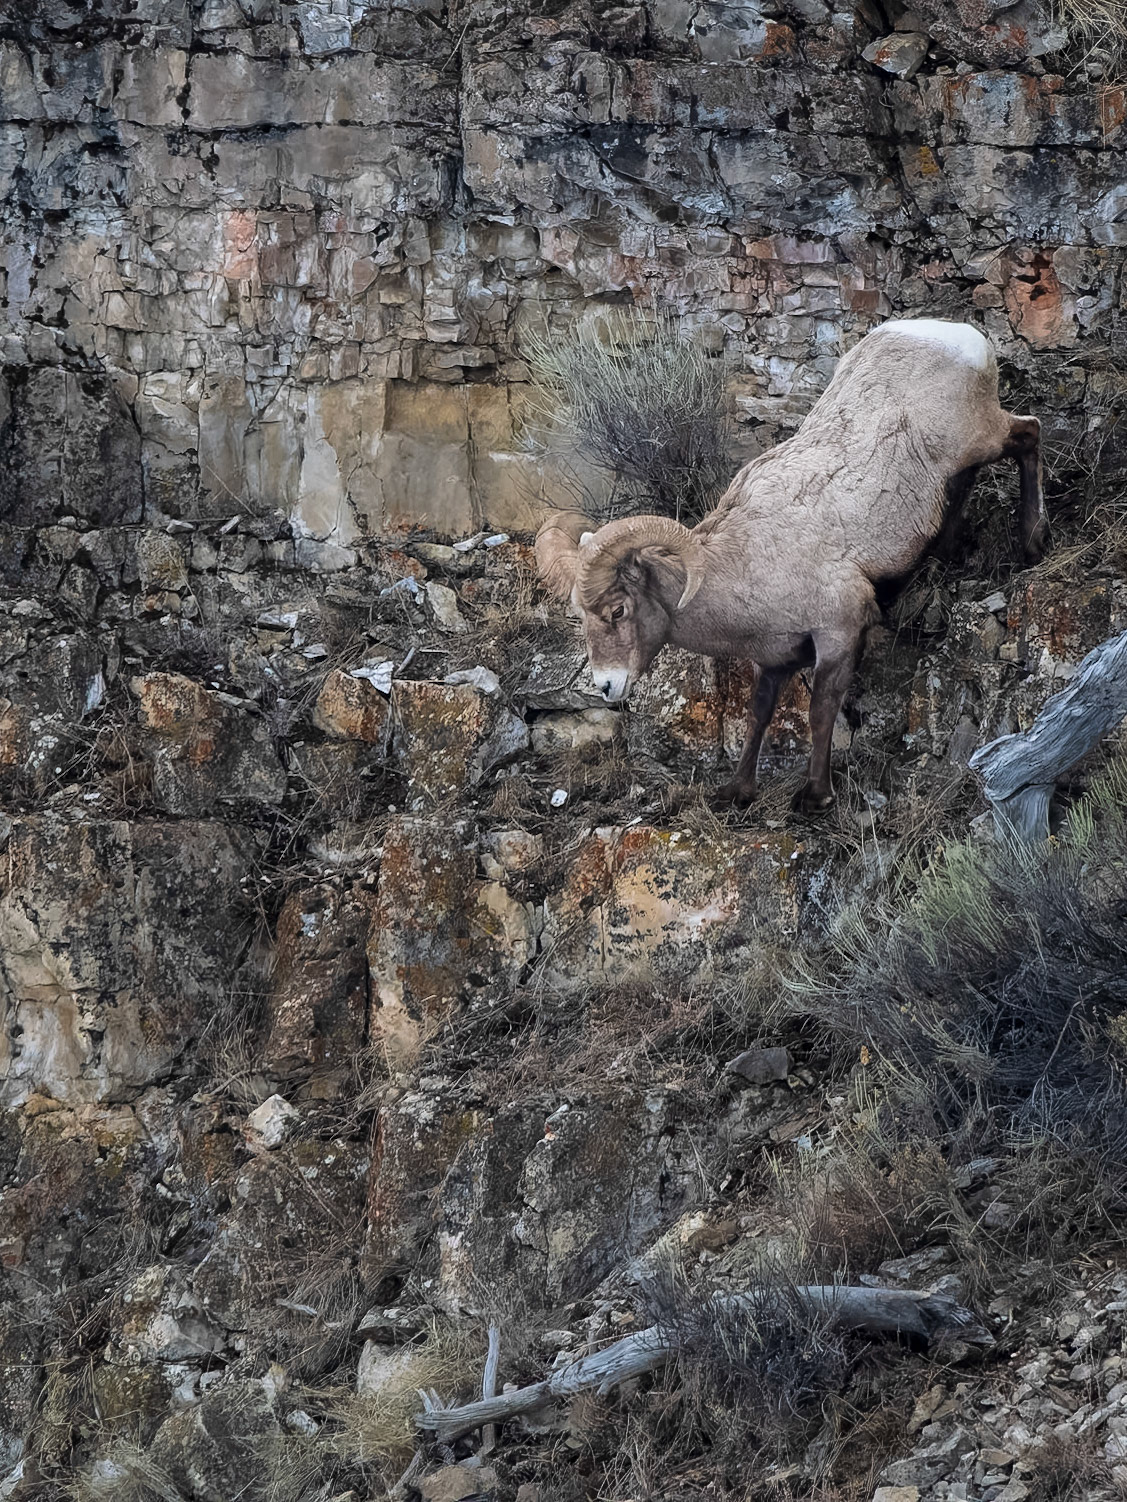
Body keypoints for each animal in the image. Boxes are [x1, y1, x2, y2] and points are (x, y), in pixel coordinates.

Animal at [535, 318, 1048, 812]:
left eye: (618, 610)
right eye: (581, 617)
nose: (606, 686)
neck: (747, 562)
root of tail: (960, 337)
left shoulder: (838, 633)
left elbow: (820, 712)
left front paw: (815, 796)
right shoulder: (775, 659)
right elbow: (759, 714)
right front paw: (737, 792)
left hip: (981, 435)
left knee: (1028, 434)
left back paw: (1032, 543)